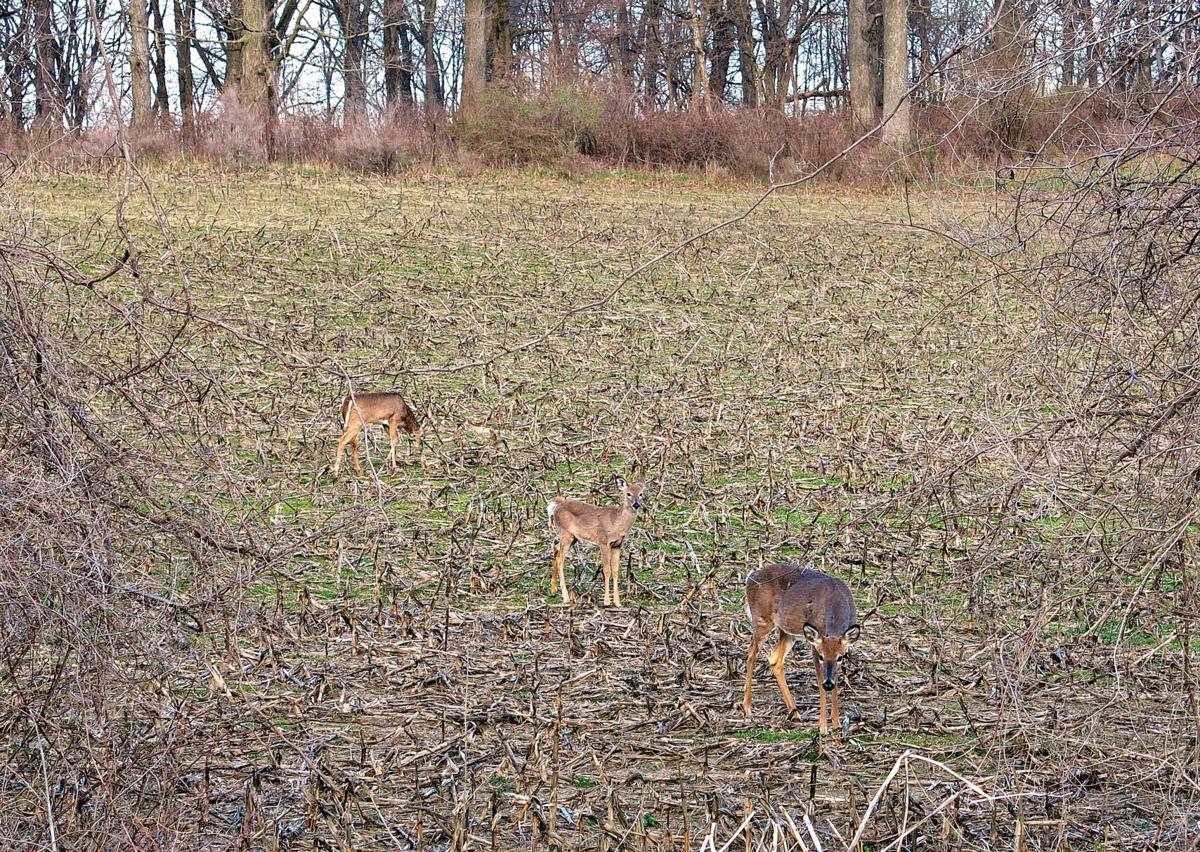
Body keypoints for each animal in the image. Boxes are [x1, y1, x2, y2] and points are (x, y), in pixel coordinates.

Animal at [546, 477, 645, 607]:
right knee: (560, 560)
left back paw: (553, 590)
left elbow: (615, 570)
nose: (636, 504)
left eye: (641, 494)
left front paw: (617, 602)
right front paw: (607, 601)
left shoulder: (617, 545)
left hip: (572, 537)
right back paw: (566, 597)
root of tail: (557, 505)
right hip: (565, 533)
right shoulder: (603, 542)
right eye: (628, 493)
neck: (617, 523)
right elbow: (607, 570)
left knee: (556, 549)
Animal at [742, 564, 860, 735]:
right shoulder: (814, 645)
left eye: (840, 657)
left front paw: (837, 723)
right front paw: (823, 727)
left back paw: (795, 712)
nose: (828, 685)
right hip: (761, 619)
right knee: (751, 652)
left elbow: (836, 680)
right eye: (822, 656)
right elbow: (819, 680)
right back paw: (747, 707)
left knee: (774, 659)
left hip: (787, 631)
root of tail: (750, 577)